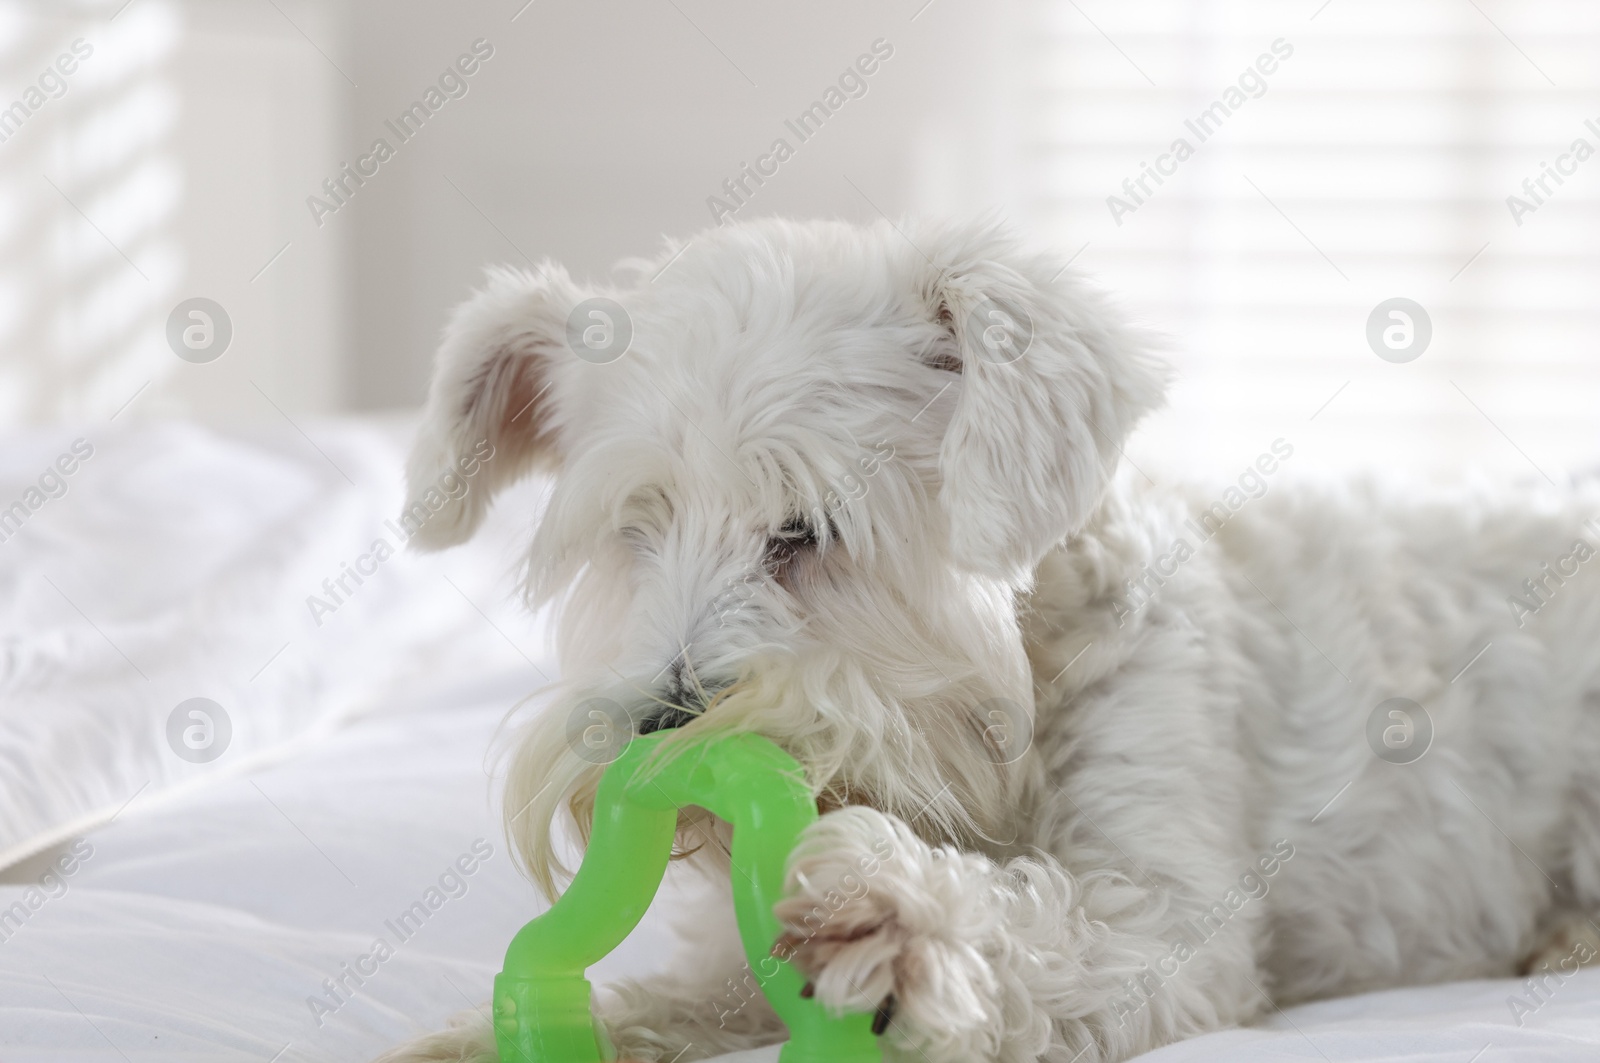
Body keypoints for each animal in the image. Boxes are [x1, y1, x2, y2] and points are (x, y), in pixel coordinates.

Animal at [377, 217, 1600, 1063]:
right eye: (634, 531)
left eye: (807, 530)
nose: (663, 735)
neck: (1019, 691)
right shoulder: (730, 957)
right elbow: (679, 999)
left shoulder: (1171, 921)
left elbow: (1043, 935)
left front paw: (900, 923)